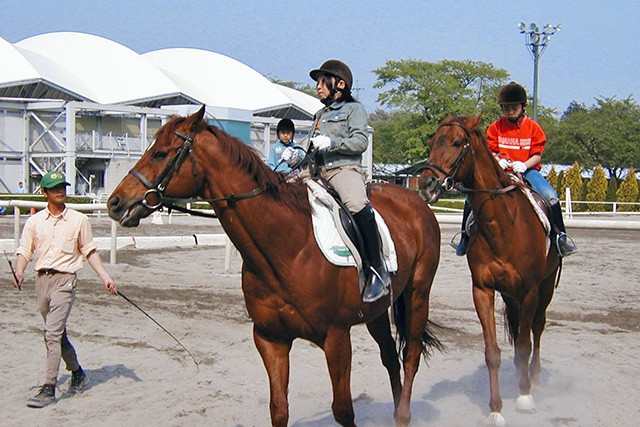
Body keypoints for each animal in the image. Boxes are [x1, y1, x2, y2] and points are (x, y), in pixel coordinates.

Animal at [107, 108, 442, 427]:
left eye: (160, 153)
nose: (115, 202)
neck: (289, 247)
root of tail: (415, 200)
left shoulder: (336, 339)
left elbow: (343, 410)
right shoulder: (271, 339)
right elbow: (279, 409)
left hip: (417, 294)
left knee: (410, 356)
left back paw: (404, 415)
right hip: (376, 310)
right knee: (390, 357)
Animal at [418, 115, 556, 426]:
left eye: (457, 142)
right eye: (432, 142)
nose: (426, 183)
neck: (504, 225)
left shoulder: (529, 290)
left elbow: (524, 343)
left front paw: (525, 397)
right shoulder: (483, 289)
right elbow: (493, 351)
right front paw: (496, 409)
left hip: (546, 286)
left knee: (537, 328)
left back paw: (535, 379)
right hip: (510, 294)